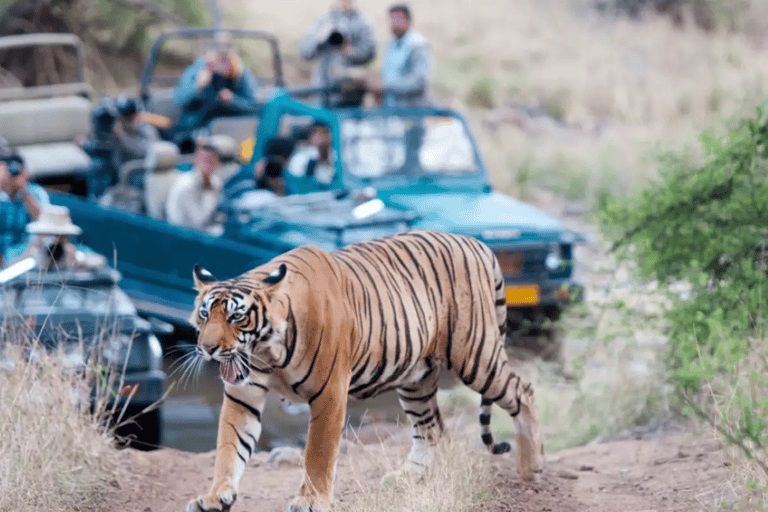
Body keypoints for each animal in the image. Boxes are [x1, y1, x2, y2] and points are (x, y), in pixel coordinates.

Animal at [184, 230, 544, 512]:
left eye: (236, 317)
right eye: (204, 314)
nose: (207, 348)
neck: (266, 350)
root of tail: (477, 243)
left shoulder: (329, 393)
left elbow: (317, 453)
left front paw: (310, 502)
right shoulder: (242, 396)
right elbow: (229, 447)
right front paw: (214, 498)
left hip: (475, 356)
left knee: (523, 392)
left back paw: (531, 468)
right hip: (416, 379)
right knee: (431, 427)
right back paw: (409, 477)